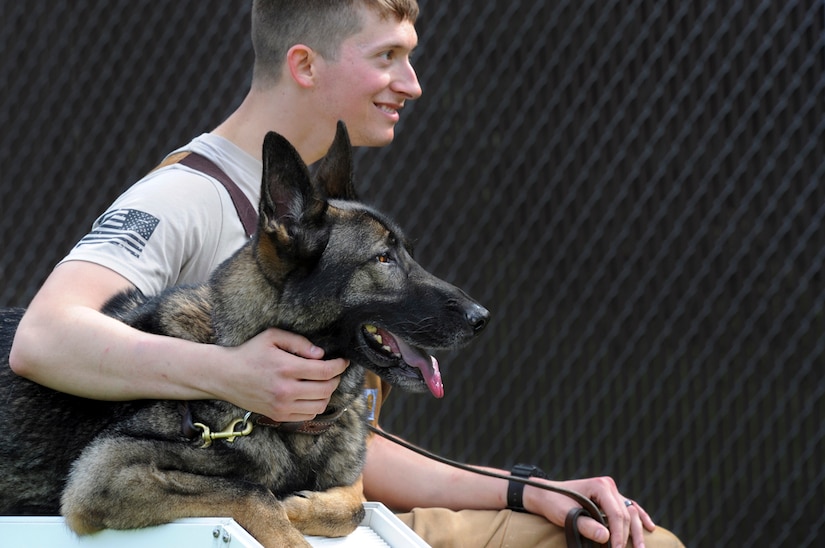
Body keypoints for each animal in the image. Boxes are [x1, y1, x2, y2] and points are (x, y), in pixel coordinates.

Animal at [0, 122, 490, 544]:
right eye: (383, 259)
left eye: (408, 253)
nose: (481, 317)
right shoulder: (108, 475)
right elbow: (251, 494)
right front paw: (287, 519)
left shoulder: (350, 483)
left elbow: (352, 505)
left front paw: (300, 505)